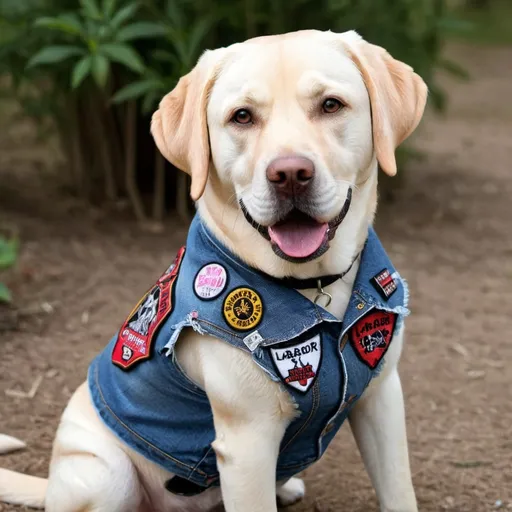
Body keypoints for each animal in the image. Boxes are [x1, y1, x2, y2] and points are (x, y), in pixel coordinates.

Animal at [0, 29, 426, 512]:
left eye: (331, 105)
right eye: (242, 116)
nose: (290, 174)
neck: (313, 286)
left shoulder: (381, 399)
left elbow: (399, 492)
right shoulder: (248, 444)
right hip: (104, 474)